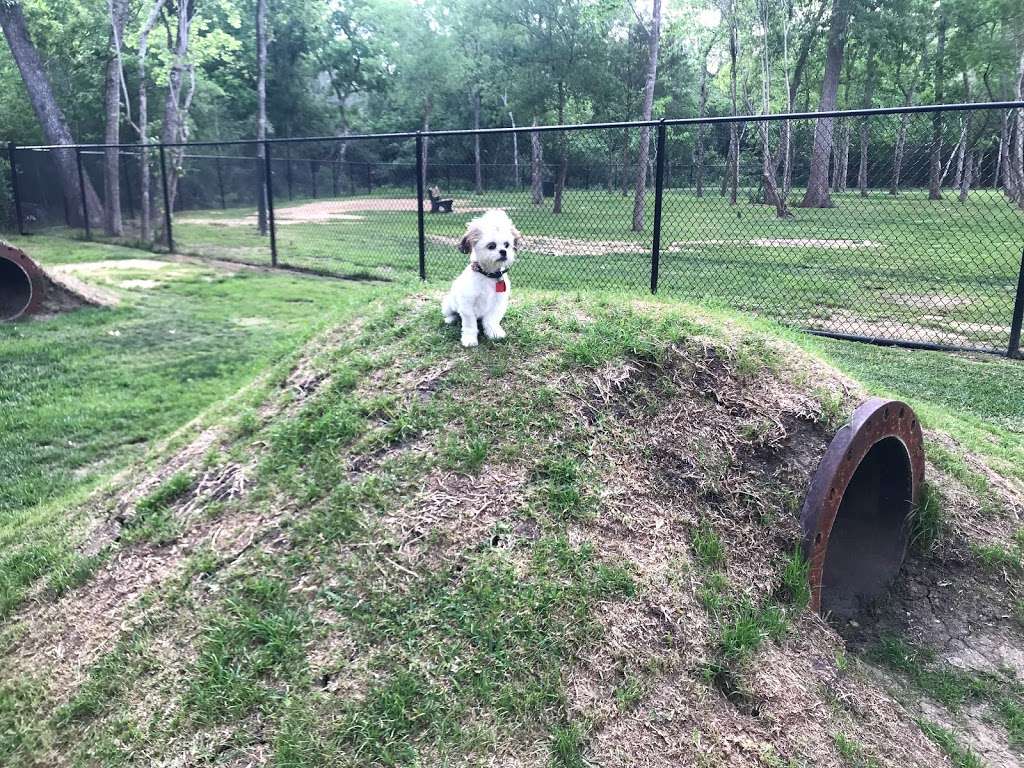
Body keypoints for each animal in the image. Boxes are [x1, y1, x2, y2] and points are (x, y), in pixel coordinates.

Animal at [442, 207, 524, 346]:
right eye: (491, 246)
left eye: (507, 245)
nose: (504, 252)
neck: (488, 275)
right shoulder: (467, 305)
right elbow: (470, 325)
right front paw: (469, 339)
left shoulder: (497, 304)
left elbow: (491, 320)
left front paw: (494, 333)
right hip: (449, 304)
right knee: (453, 313)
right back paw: (450, 319)